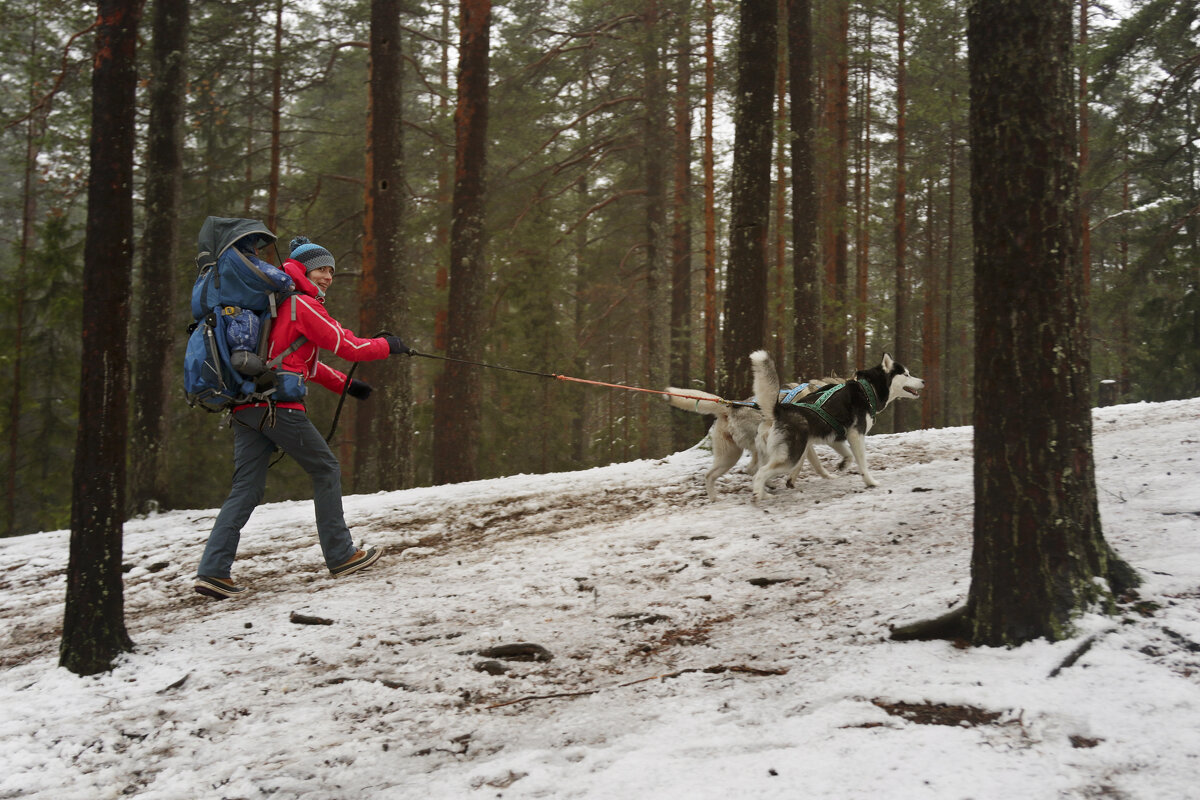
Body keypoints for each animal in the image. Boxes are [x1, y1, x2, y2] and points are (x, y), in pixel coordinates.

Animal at [667, 376, 844, 501]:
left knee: (735, 471)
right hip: (739, 454)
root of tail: (730, 407)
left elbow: (814, 464)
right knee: (749, 470)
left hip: (733, 455)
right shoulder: (802, 444)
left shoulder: (805, 444)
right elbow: (809, 464)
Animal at [748, 350, 926, 501]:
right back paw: (758, 495)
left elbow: (849, 456)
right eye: (906, 374)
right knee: (762, 473)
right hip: (790, 457)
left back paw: (764, 493)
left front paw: (843, 465)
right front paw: (870, 482)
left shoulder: (835, 437)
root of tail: (779, 410)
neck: (867, 390)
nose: (923, 381)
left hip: (775, 454)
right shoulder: (856, 434)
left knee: (759, 473)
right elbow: (862, 462)